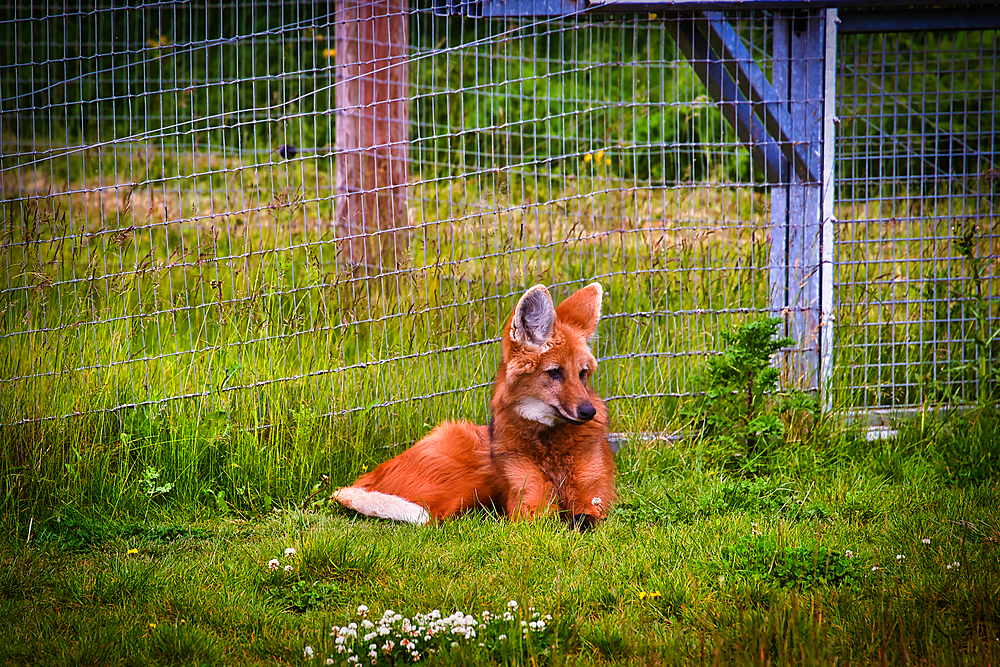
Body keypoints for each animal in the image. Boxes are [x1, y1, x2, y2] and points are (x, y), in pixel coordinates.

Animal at [334, 284, 616, 532]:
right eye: (555, 372)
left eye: (582, 374)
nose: (588, 412)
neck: (551, 445)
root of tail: (367, 478)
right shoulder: (528, 506)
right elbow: (546, 519)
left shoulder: (593, 497)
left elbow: (587, 516)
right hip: (465, 477)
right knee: (432, 517)